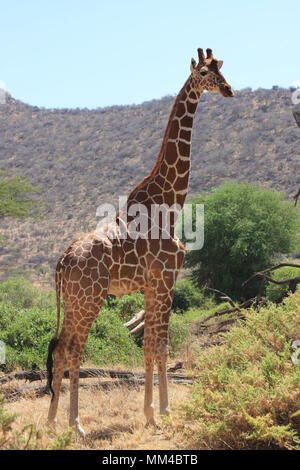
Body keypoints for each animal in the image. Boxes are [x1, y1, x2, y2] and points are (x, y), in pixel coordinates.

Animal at [47, 47, 234, 436]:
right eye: (204, 74)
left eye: (223, 70)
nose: (228, 90)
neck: (172, 202)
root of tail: (62, 261)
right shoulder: (165, 279)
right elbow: (159, 345)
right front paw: (162, 411)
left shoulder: (151, 284)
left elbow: (149, 346)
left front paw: (150, 412)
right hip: (90, 299)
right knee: (74, 350)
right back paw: (76, 425)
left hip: (73, 301)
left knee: (60, 349)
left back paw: (52, 421)